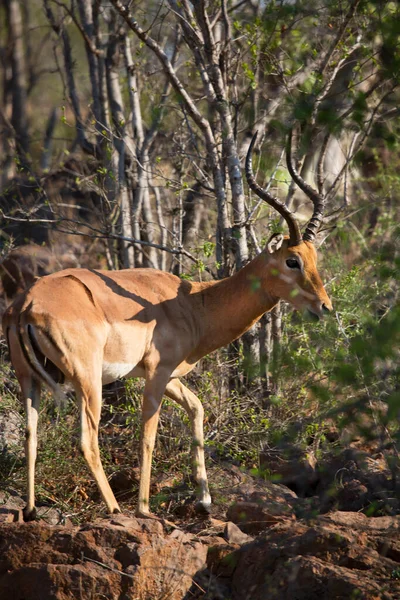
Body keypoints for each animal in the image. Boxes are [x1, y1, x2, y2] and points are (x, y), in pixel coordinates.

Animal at [1, 132, 332, 520]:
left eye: (313, 258)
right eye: (292, 260)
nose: (324, 306)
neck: (195, 304)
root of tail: (26, 305)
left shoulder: (167, 374)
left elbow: (198, 408)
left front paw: (204, 500)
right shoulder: (158, 373)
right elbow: (148, 437)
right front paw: (145, 508)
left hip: (30, 380)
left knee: (30, 433)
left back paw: (31, 508)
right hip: (88, 381)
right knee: (87, 440)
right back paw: (116, 508)